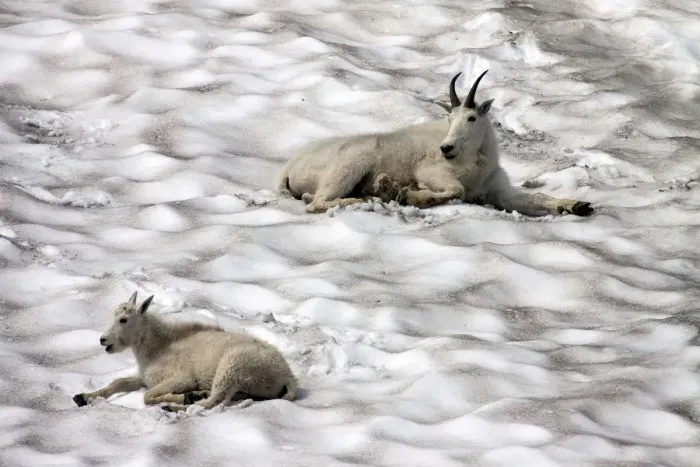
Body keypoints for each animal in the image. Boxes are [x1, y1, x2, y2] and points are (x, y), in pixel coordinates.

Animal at [72, 292, 297, 412]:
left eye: (123, 320)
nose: (103, 340)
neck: (157, 348)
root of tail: (288, 377)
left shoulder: (180, 379)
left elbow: (147, 396)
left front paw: (180, 398)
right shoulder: (145, 377)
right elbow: (118, 383)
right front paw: (82, 397)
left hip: (233, 366)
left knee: (214, 402)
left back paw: (181, 403)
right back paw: (197, 394)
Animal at [275, 70, 593, 217]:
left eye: (471, 118)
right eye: (450, 117)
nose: (446, 148)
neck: (476, 162)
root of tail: (289, 168)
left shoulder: (498, 190)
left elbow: (538, 198)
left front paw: (580, 205)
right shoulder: (430, 172)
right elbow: (455, 190)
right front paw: (411, 195)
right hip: (351, 163)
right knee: (317, 203)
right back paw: (371, 196)